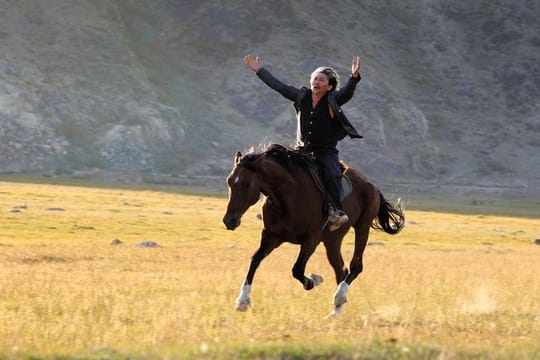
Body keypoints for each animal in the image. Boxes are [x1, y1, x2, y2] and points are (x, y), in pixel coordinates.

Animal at [221, 143, 402, 316]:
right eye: (229, 181)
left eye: (246, 184)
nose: (229, 220)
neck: (287, 196)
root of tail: (372, 186)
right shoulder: (272, 236)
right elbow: (255, 260)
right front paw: (242, 300)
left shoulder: (311, 240)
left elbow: (297, 269)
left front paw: (313, 280)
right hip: (332, 241)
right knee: (341, 270)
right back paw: (336, 311)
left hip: (362, 227)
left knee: (356, 266)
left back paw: (339, 296)